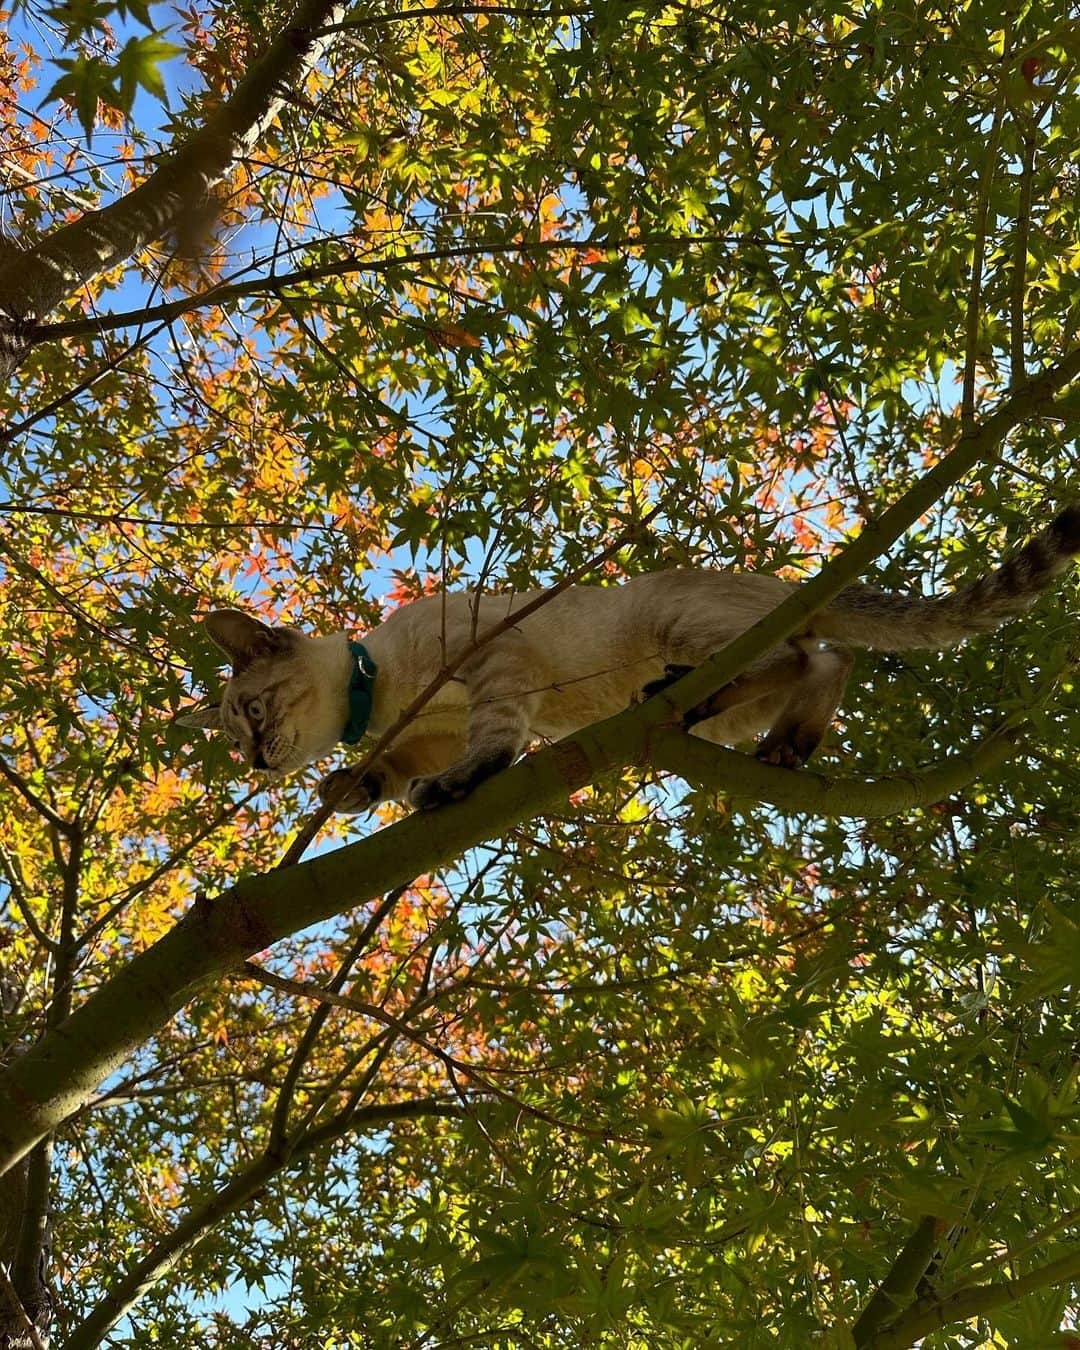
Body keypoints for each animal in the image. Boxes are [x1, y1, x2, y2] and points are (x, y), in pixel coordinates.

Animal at [179, 502, 1080, 804]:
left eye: (251, 710)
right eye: (231, 734)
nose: (255, 760)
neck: (388, 696)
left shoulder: (493, 669)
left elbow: (489, 743)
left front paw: (452, 787)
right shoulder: (421, 733)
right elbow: (385, 774)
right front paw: (348, 787)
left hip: (679, 625)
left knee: (805, 657)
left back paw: (696, 698)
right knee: (827, 662)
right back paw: (788, 747)